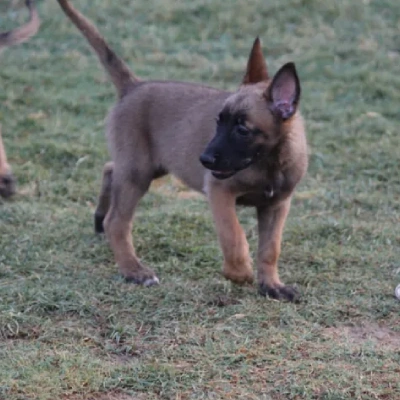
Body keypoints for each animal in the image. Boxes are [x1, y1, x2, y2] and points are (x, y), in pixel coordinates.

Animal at [57, 0, 306, 300]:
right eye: (218, 121)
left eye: (242, 130)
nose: (204, 159)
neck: (269, 163)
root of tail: (134, 86)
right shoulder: (220, 192)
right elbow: (233, 235)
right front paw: (238, 272)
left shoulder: (276, 206)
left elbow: (270, 249)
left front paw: (272, 285)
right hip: (138, 173)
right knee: (117, 222)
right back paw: (133, 270)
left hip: (147, 165)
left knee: (110, 169)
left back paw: (99, 218)